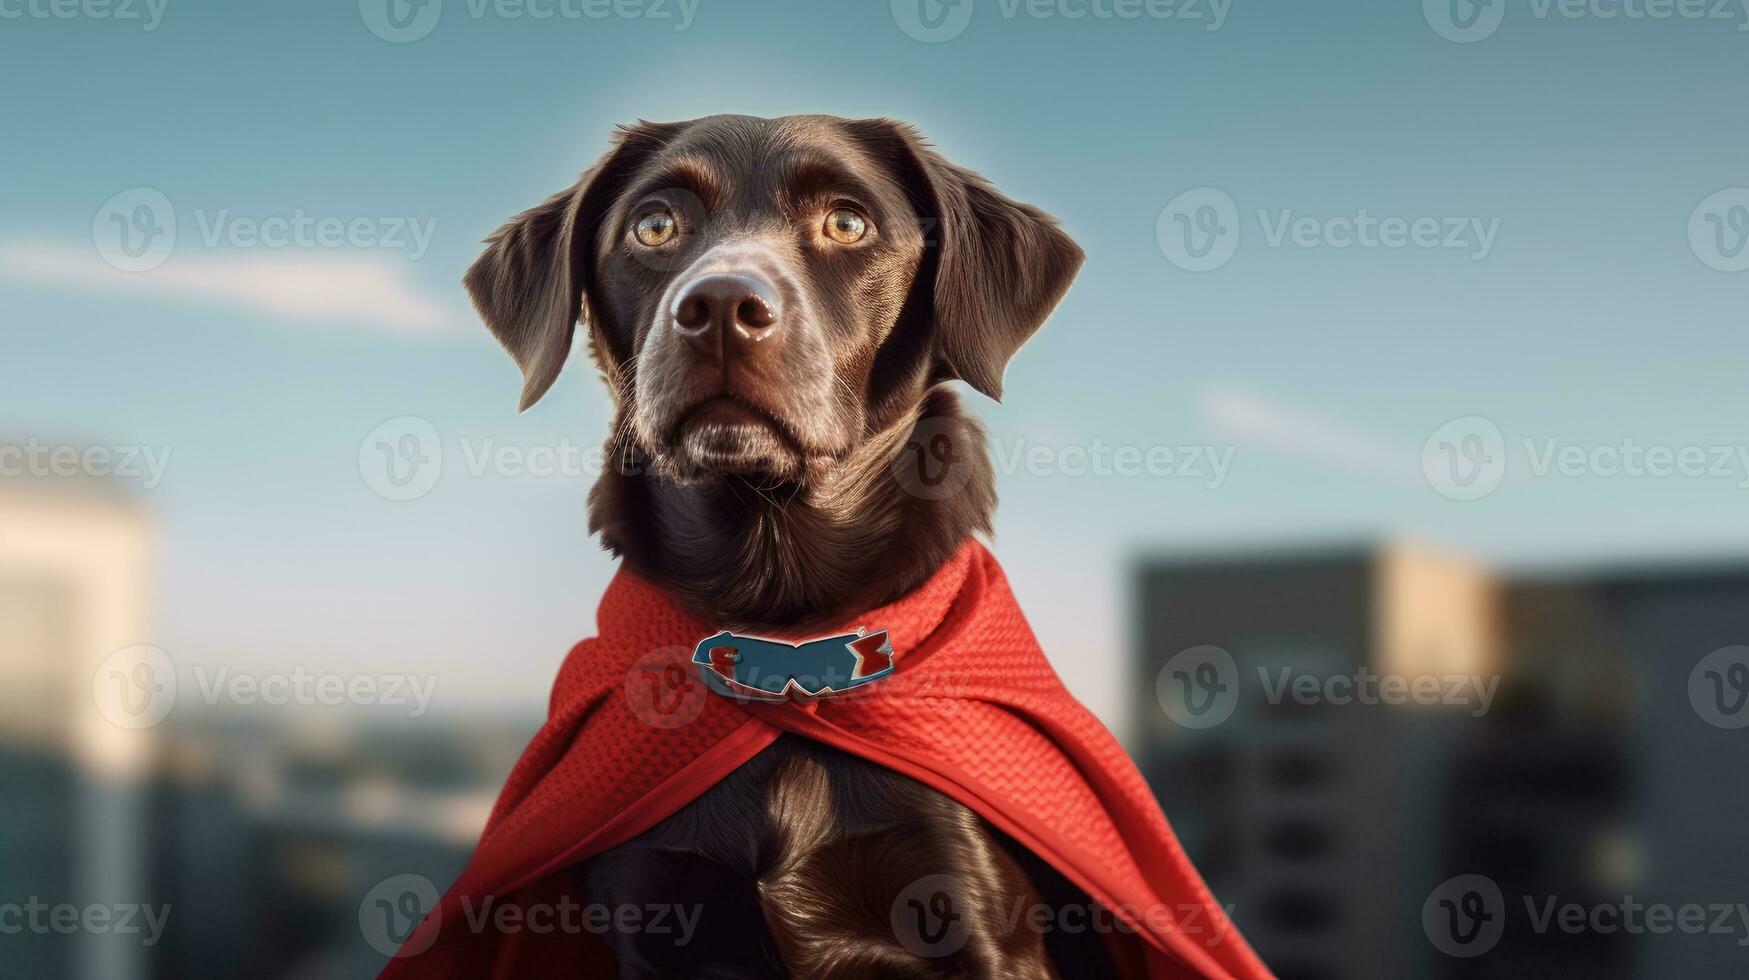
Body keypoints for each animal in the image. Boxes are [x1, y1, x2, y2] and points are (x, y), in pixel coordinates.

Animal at [465, 116, 1105, 980]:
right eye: (654, 225)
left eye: (847, 223)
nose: (719, 306)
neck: (782, 628)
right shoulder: (649, 906)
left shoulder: (978, 922)